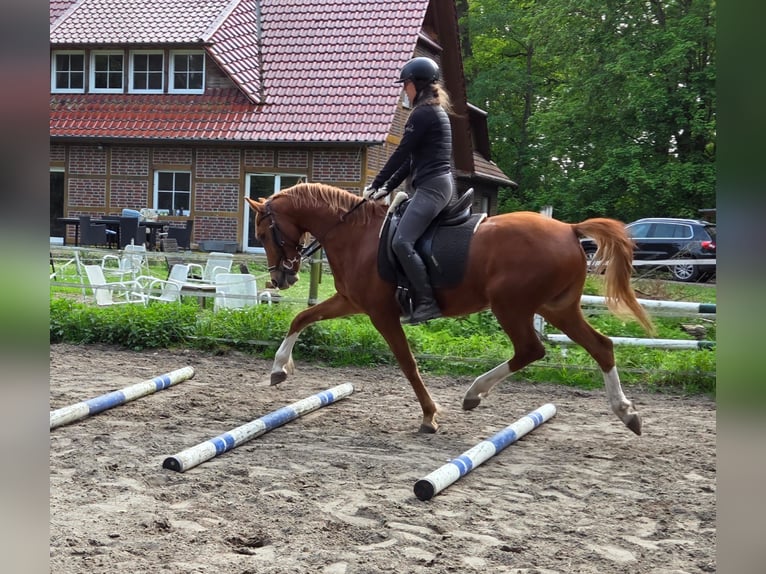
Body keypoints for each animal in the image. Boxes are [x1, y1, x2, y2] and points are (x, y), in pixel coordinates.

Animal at [245, 183, 654, 435]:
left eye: (263, 233)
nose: (280, 278)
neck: (355, 234)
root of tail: (569, 229)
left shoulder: (381, 314)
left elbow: (408, 364)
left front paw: (429, 416)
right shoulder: (351, 302)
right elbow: (301, 317)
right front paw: (279, 369)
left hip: (512, 306)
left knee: (530, 350)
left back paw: (474, 393)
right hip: (557, 308)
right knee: (601, 347)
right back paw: (627, 413)